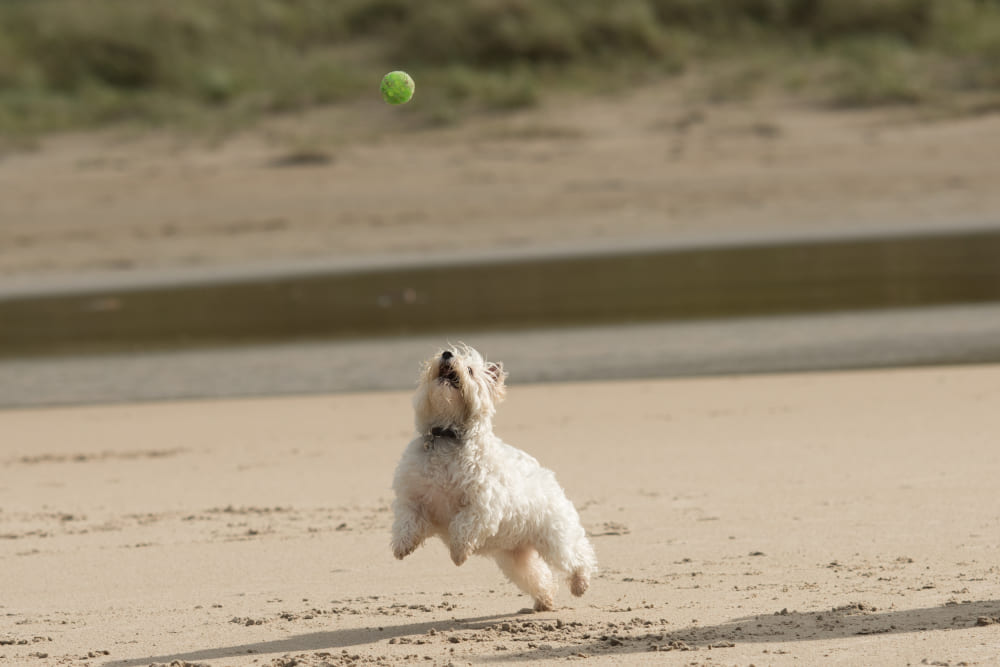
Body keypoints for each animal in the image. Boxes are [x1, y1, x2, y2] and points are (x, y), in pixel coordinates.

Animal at [388, 344, 592, 612]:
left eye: (470, 370)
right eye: (448, 353)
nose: (446, 354)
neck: (446, 436)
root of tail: (547, 476)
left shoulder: (482, 506)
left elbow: (463, 525)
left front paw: (459, 552)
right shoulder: (412, 499)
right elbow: (406, 522)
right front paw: (402, 545)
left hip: (555, 538)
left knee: (579, 555)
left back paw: (580, 583)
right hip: (514, 557)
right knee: (537, 575)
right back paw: (544, 600)